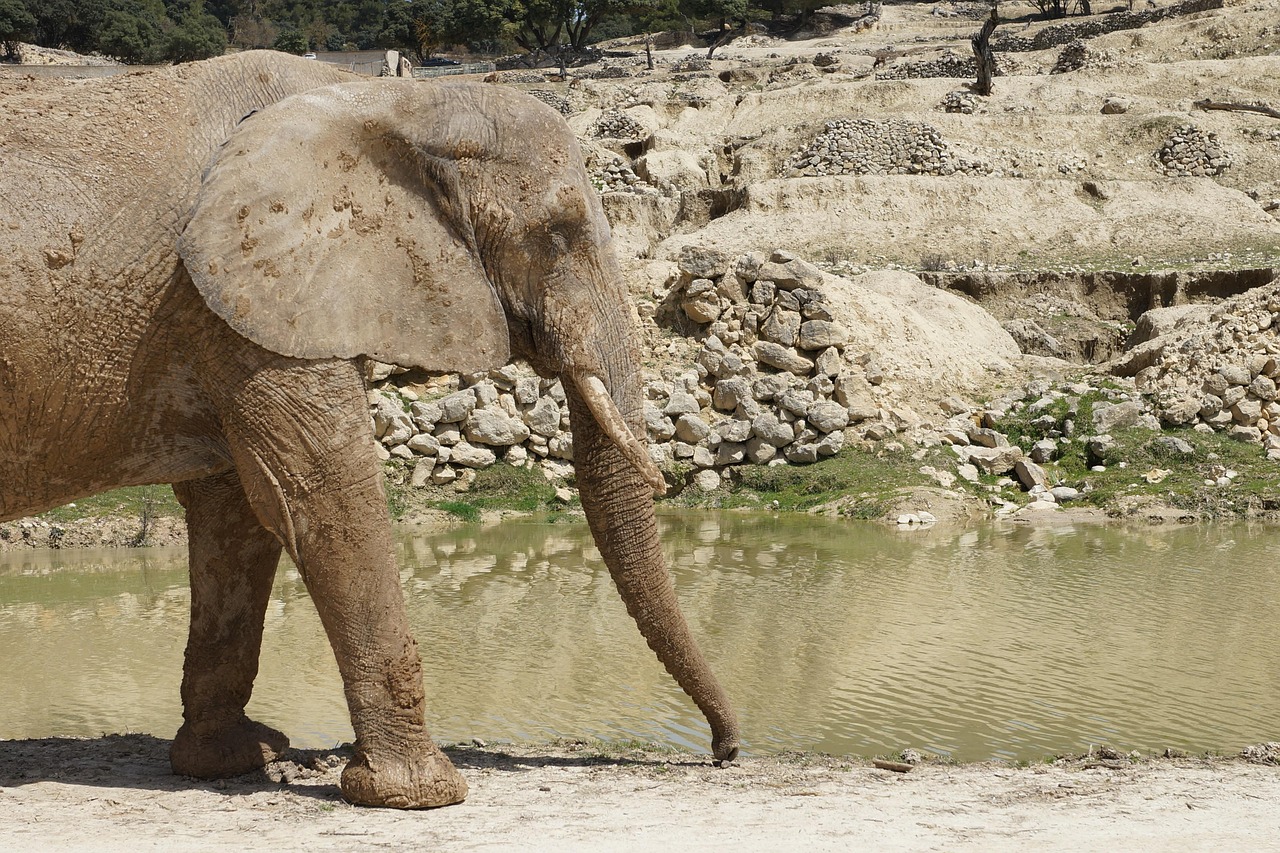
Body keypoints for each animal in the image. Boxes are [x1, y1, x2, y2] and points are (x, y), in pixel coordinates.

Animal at [0, 51, 739, 808]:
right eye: (559, 233)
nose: (724, 752)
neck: (392, 99)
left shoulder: (239, 303)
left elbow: (237, 512)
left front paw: (237, 759)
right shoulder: (262, 288)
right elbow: (321, 491)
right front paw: (421, 794)